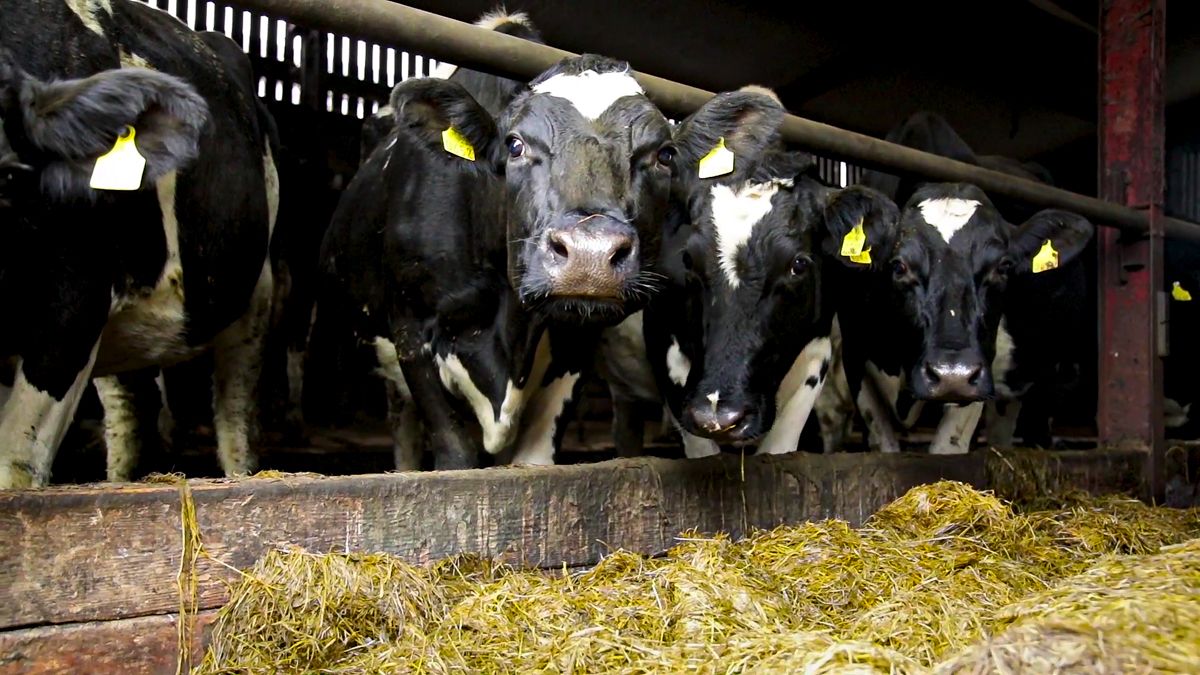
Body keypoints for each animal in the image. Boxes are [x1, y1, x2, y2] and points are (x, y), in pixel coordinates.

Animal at [0, 1, 279, 488]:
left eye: (7, 176)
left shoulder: (73, 304)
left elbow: (15, 464)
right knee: (132, 409)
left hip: (252, 292)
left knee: (236, 417)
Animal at [313, 45, 676, 470]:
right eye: (515, 145)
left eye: (665, 154)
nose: (590, 253)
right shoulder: (411, 328)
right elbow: (455, 453)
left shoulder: (576, 346)